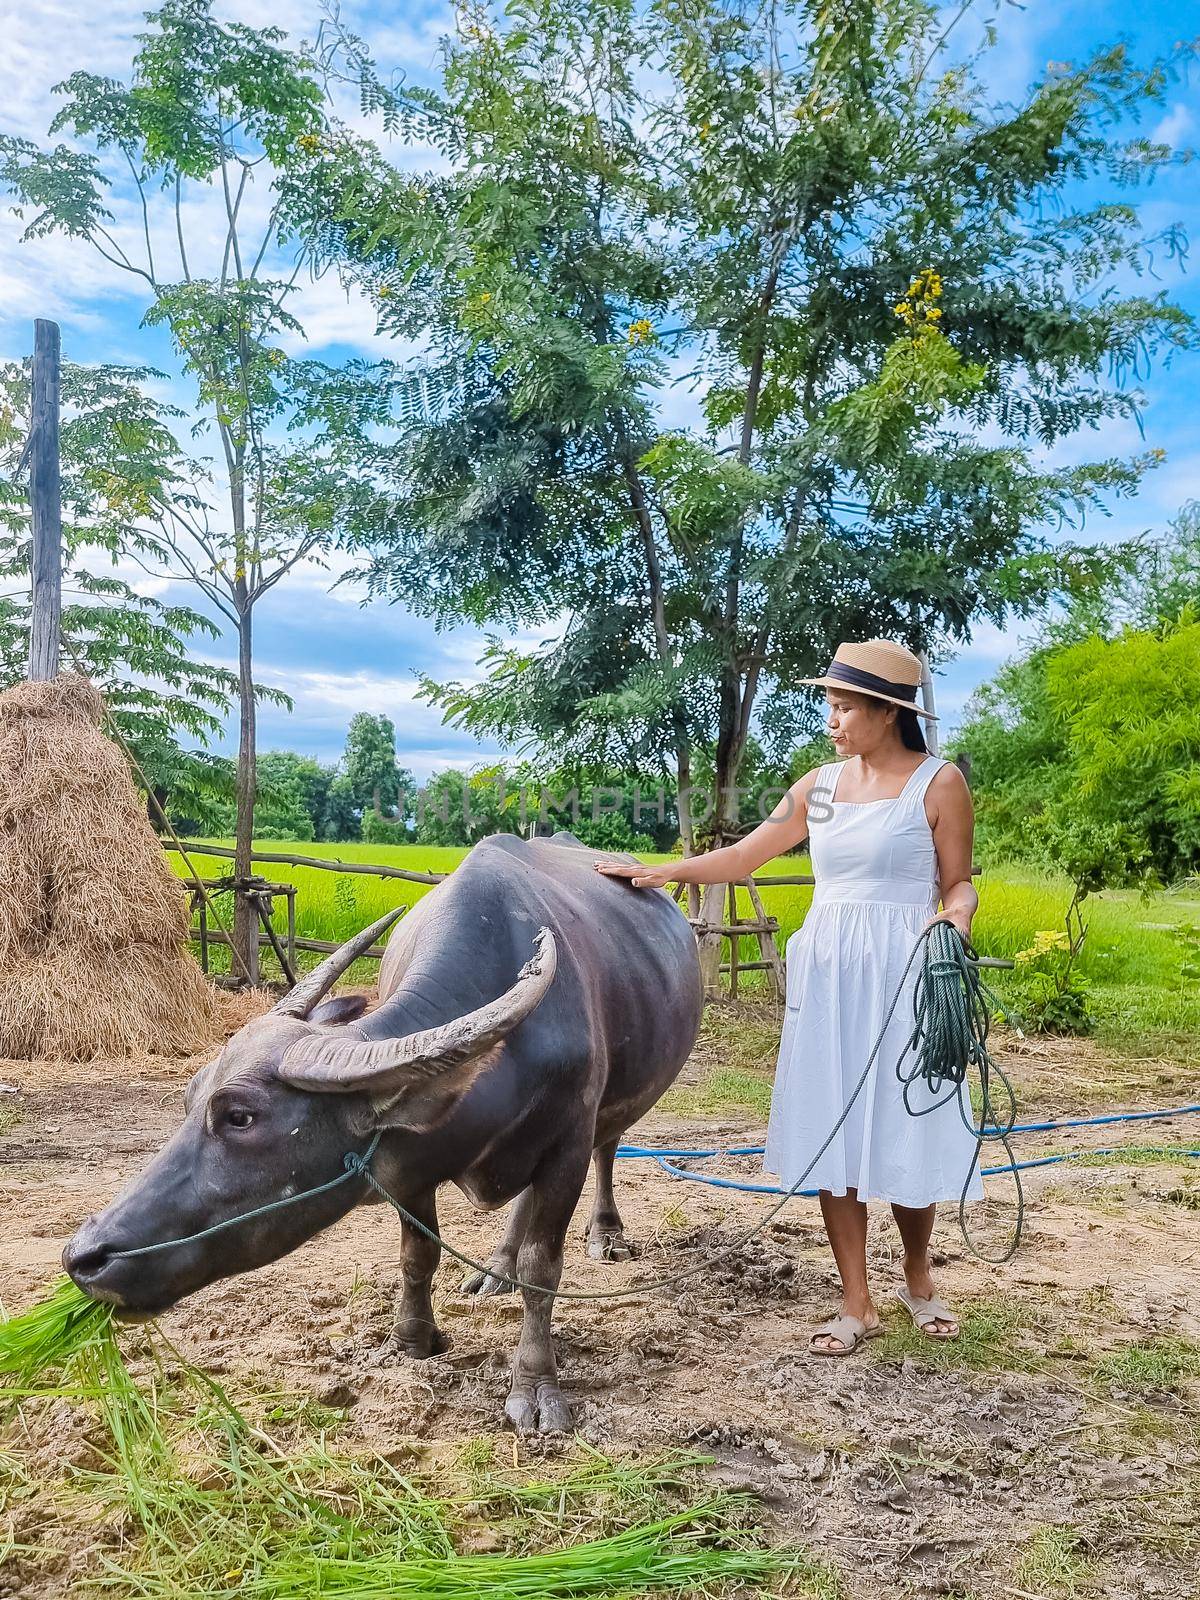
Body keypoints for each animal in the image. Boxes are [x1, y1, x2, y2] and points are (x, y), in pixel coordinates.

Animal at [63, 832, 704, 1433]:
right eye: (190, 1096)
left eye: (240, 1116)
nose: (82, 1257)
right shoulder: (406, 1167)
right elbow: (418, 1254)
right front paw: (412, 1340)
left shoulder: (565, 1147)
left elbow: (542, 1272)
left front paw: (536, 1386)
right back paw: (492, 1269)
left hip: (613, 1110)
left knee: (608, 1148)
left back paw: (605, 1233)